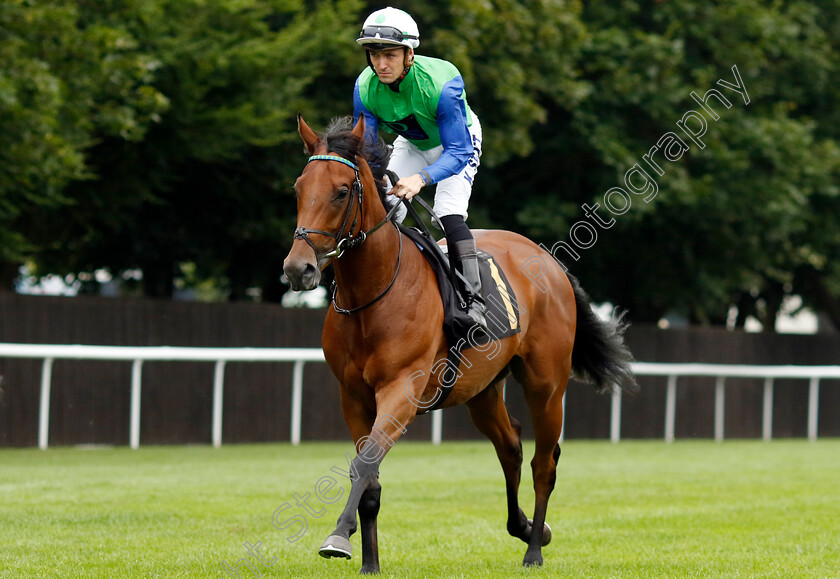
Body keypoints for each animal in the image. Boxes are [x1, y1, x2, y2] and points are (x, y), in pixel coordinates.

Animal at [284, 115, 636, 572]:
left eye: (342, 191)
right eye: (298, 188)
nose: (298, 268)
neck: (374, 294)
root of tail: (550, 261)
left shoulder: (402, 388)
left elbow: (364, 465)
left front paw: (338, 537)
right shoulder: (354, 397)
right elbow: (370, 476)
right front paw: (369, 563)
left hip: (546, 385)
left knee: (543, 463)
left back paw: (534, 549)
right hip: (481, 391)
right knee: (510, 447)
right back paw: (527, 527)